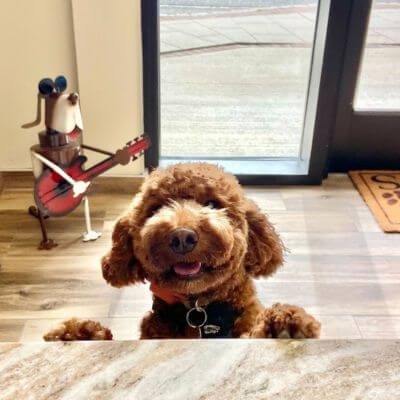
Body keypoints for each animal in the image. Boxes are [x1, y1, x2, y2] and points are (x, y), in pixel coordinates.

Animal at [43, 162, 320, 340]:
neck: (200, 314)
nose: (182, 237)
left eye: (212, 204)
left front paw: (285, 323)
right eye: (155, 209)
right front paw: (80, 334)